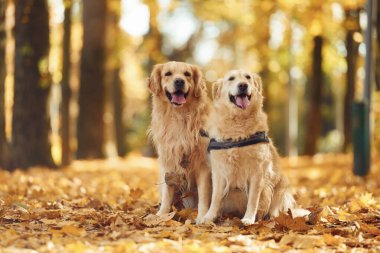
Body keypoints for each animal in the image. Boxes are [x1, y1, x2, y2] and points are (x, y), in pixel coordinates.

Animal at [147, 60, 211, 221]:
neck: (179, 116)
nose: (179, 81)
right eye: (168, 73)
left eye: (187, 74)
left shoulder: (203, 164)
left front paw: (202, 217)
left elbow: (203, 195)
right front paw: (161, 215)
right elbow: (167, 194)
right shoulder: (168, 161)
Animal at [200, 69, 296, 225]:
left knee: (275, 208)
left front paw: (249, 219)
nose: (243, 85)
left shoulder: (257, 172)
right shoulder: (219, 171)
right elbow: (215, 198)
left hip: (282, 182)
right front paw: (209, 217)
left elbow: (253, 200)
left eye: (248, 77)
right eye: (231, 78)